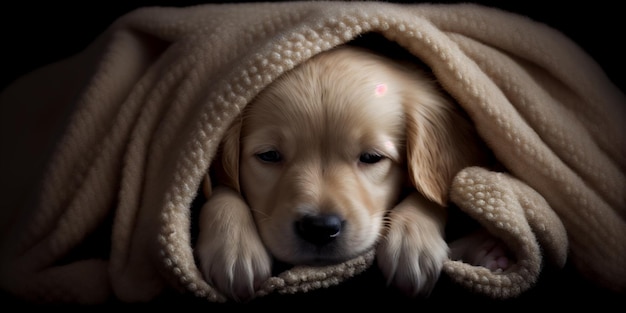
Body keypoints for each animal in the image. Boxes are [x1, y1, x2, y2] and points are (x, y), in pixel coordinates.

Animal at [195, 45, 508, 302]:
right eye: (269, 156)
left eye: (371, 157)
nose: (319, 228)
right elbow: (221, 186)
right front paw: (233, 246)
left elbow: (432, 190)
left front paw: (413, 241)